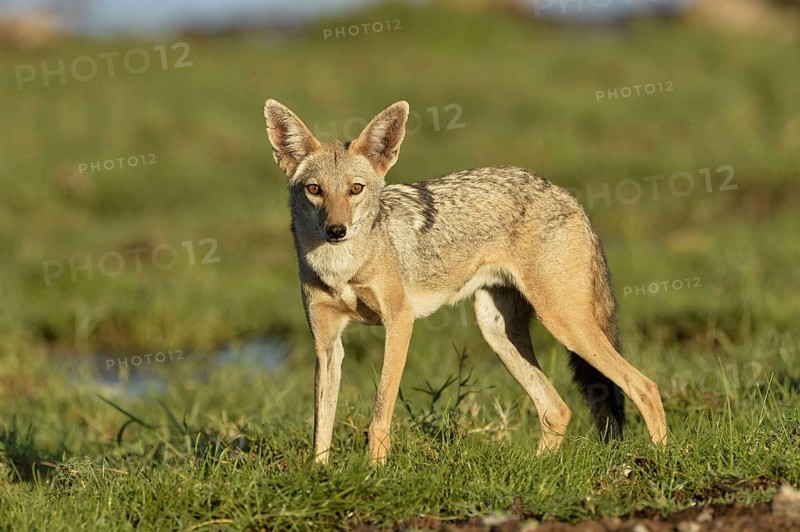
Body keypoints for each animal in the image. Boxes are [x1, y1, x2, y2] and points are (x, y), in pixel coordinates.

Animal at [263, 99, 668, 464]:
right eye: (315, 190)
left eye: (356, 189)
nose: (336, 230)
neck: (340, 268)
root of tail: (565, 194)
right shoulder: (326, 345)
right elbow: (322, 424)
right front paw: (320, 474)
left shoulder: (400, 322)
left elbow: (378, 417)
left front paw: (374, 475)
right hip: (498, 332)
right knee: (557, 409)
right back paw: (535, 470)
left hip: (565, 325)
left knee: (644, 385)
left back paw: (663, 460)